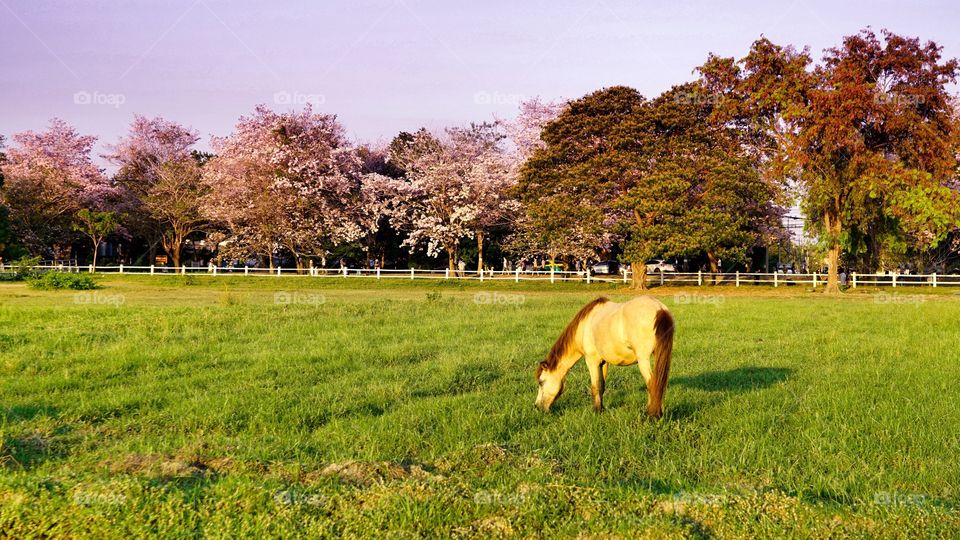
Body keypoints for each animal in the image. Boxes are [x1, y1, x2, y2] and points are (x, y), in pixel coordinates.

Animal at [534, 296, 674, 417]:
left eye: (541, 382)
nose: (537, 407)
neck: (584, 325)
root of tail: (659, 308)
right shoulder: (604, 362)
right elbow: (602, 385)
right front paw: (601, 409)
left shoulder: (592, 361)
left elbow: (595, 386)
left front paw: (596, 411)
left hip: (643, 360)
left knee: (652, 384)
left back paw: (652, 415)